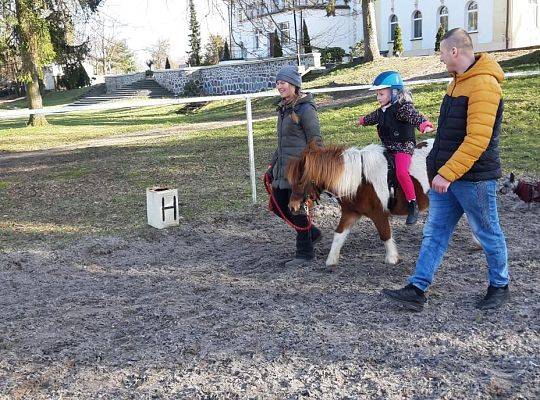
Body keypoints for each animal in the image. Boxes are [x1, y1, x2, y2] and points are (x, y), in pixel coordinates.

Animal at [286, 139, 434, 268]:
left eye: (300, 182)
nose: (292, 207)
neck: (359, 180)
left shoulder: (379, 214)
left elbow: (385, 234)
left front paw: (392, 258)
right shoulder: (350, 213)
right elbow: (339, 234)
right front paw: (331, 260)